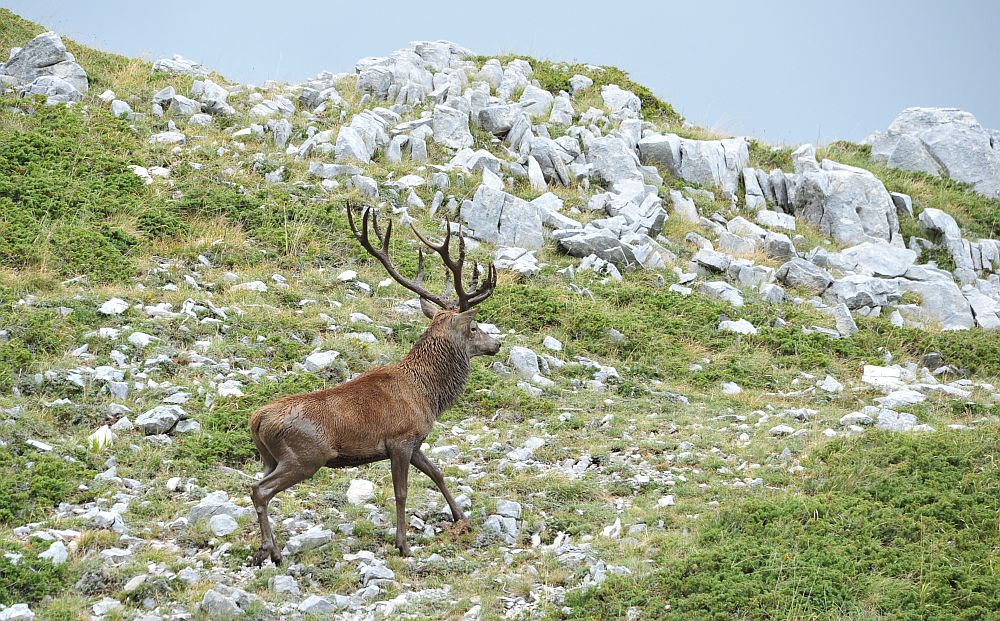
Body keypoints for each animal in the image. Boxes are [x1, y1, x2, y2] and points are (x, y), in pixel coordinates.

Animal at [250, 206, 500, 564]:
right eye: (475, 327)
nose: (496, 344)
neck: (428, 396)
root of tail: (256, 419)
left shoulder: (416, 441)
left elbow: (437, 472)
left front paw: (461, 517)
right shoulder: (399, 439)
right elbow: (401, 491)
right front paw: (403, 544)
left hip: (270, 457)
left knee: (257, 486)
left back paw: (264, 549)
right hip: (304, 456)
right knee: (260, 490)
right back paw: (272, 551)